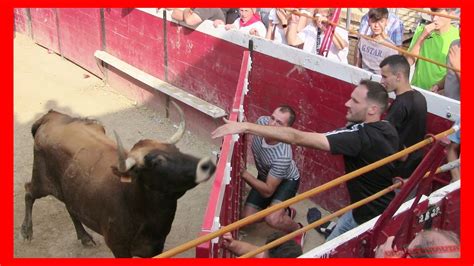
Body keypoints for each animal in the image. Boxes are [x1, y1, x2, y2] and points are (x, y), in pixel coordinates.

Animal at [20, 102, 216, 258]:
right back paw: (26, 231)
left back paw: (84, 237)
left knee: (70, 207)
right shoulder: (118, 247)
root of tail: (51, 117)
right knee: (29, 191)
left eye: (177, 150)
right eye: (156, 162)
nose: (207, 165)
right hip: (42, 181)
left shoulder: (156, 247)